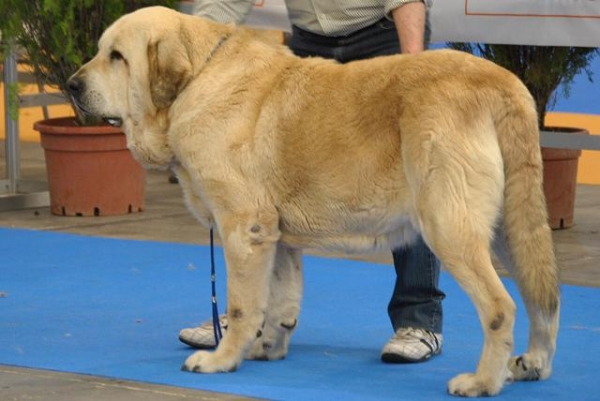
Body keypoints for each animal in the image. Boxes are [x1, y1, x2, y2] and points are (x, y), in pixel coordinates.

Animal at [68, 7, 560, 396]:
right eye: (101, 51)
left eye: (117, 57)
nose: (72, 85)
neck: (197, 79)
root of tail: (500, 82)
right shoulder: (275, 236)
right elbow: (281, 301)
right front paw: (267, 347)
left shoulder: (243, 228)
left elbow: (242, 305)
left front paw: (222, 359)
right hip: (512, 226)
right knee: (542, 299)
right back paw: (532, 365)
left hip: (449, 226)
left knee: (500, 308)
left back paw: (482, 382)